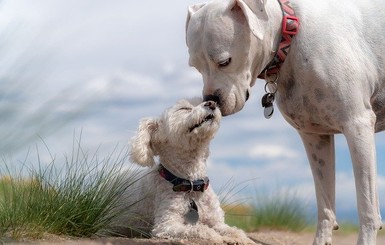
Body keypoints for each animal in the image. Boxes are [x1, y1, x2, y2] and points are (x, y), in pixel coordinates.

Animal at [112, 98, 254, 244]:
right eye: (184, 109)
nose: (212, 103)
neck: (192, 186)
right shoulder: (166, 224)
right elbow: (200, 229)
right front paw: (217, 237)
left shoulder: (217, 222)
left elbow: (234, 230)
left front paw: (241, 238)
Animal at [185, 0, 384, 245]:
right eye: (195, 67)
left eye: (224, 62)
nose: (211, 100)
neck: (289, 37)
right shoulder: (315, 138)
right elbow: (325, 204)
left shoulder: (357, 126)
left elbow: (367, 206)